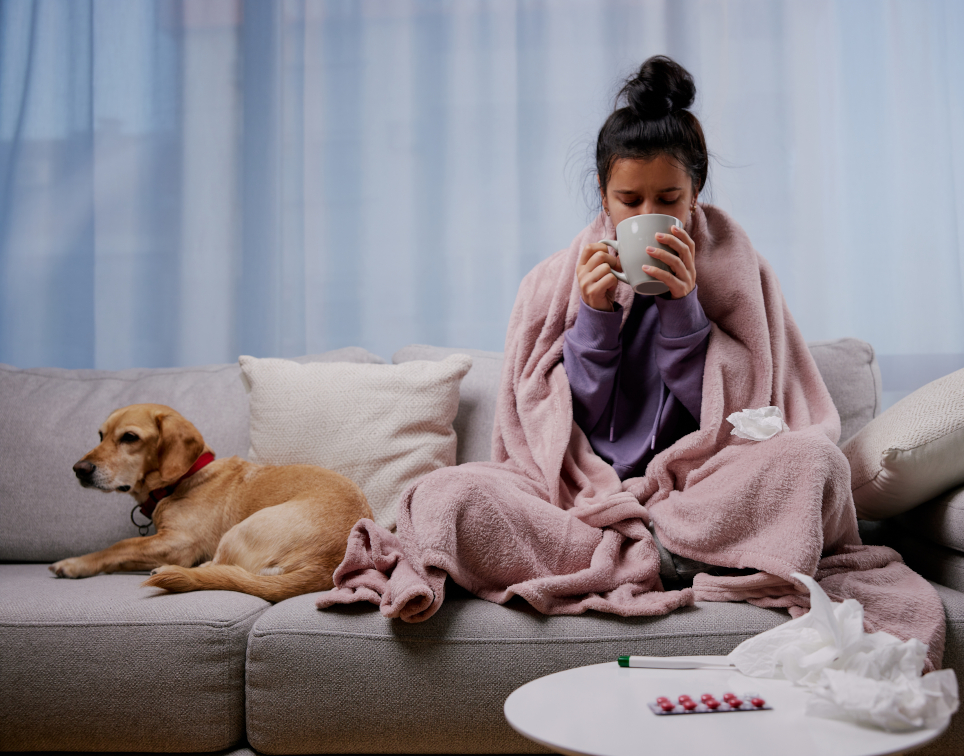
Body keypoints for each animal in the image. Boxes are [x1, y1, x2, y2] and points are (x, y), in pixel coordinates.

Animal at [49, 402, 372, 604]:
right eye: (100, 435)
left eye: (130, 437)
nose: (79, 469)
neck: (187, 476)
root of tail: (324, 567)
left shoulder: (178, 543)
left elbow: (119, 546)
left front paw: (75, 564)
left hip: (238, 530)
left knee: (219, 567)